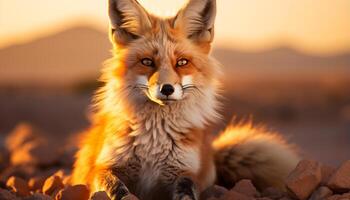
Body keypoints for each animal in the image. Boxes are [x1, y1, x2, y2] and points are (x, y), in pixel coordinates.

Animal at [70, 0, 298, 199]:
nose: (167, 89)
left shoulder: (185, 171)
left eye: (182, 62)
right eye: (147, 62)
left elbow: (187, 189)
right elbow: (115, 188)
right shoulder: (102, 167)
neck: (154, 142)